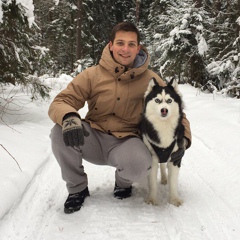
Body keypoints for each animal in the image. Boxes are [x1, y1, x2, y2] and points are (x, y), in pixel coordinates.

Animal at [142, 78, 187, 206]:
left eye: (169, 100)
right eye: (157, 100)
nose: (164, 110)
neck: (163, 126)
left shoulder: (176, 157)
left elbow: (173, 182)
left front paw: (174, 199)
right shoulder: (152, 158)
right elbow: (152, 183)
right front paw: (152, 199)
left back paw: (164, 178)